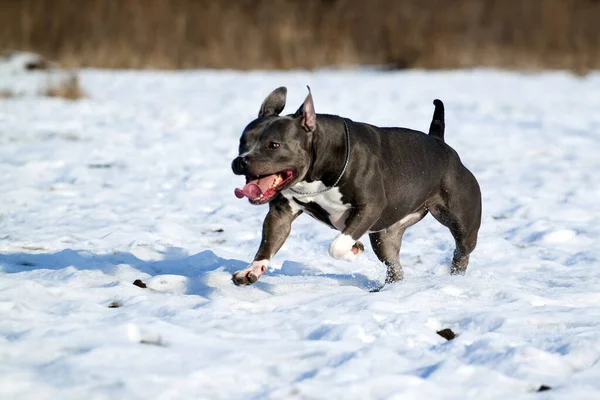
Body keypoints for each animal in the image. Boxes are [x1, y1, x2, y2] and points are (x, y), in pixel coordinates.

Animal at [231, 86, 482, 288]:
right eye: (242, 142)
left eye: (274, 145)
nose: (241, 161)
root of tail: (440, 141)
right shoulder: (281, 214)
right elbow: (269, 242)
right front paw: (252, 269)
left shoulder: (369, 207)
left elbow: (336, 246)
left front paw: (354, 250)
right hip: (385, 236)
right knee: (394, 266)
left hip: (462, 225)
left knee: (461, 252)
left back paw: (455, 278)